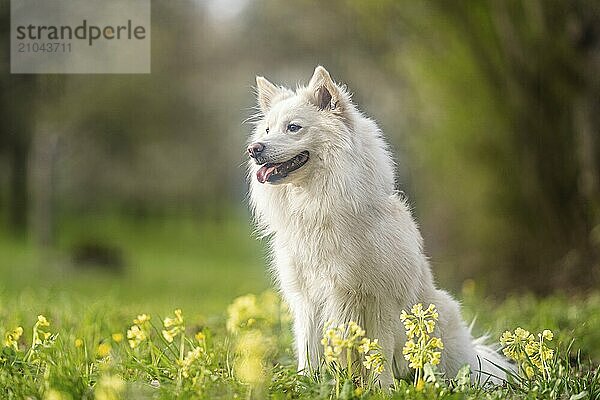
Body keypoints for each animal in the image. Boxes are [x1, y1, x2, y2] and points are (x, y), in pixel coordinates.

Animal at [246, 66, 508, 388]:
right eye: (267, 130)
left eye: (293, 127)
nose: (253, 149)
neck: (319, 206)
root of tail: (477, 355)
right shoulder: (307, 299)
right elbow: (309, 349)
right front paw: (308, 383)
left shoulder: (377, 299)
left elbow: (377, 351)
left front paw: (380, 388)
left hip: (440, 316)